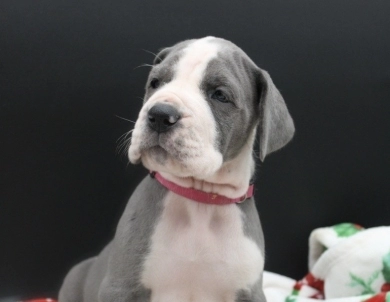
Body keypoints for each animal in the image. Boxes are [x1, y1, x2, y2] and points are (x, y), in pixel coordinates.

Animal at [59, 37, 294, 302]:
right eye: (155, 83)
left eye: (220, 95)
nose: (160, 115)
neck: (201, 198)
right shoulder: (120, 286)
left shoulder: (249, 292)